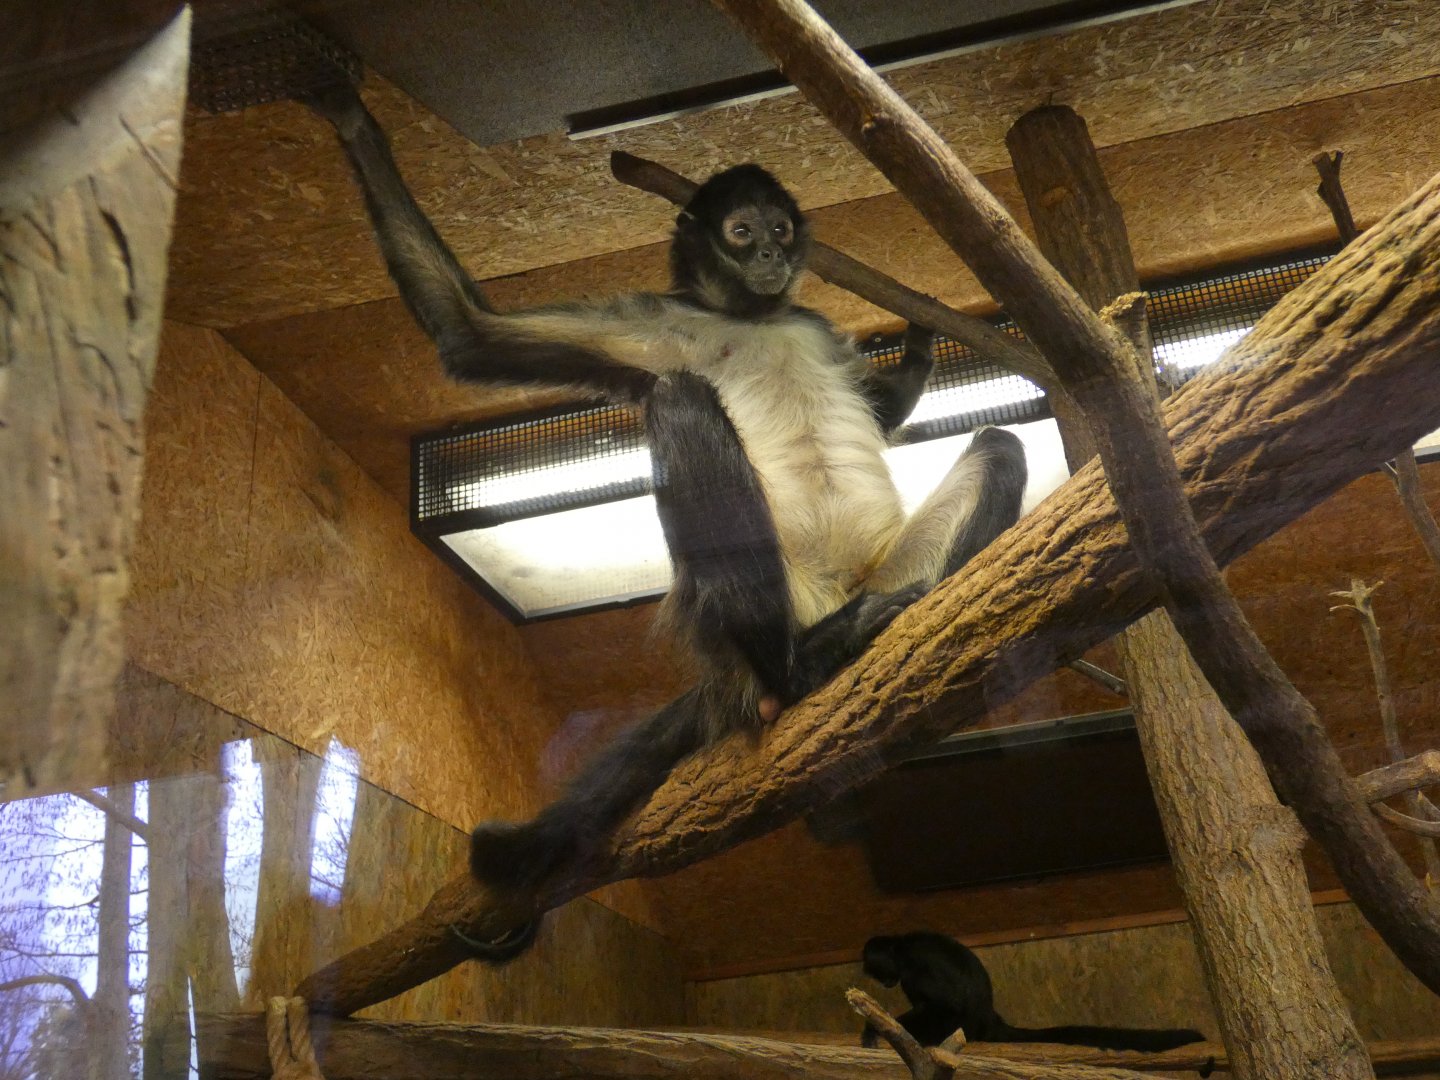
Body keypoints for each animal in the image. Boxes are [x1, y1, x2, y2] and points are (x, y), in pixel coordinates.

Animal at [302, 82, 1028, 907]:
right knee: (679, 398)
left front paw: (919, 344)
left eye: (780, 228)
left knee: (1000, 448)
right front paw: (349, 114)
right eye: (742, 232)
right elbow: (472, 330)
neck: (752, 316)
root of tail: (831, 600)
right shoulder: (658, 320)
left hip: (894, 574)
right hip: (756, 608)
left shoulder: (808, 320)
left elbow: (879, 411)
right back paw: (802, 670)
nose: (773, 254)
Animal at [861, 932, 1206, 1052]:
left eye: (879, 973)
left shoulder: (914, 967)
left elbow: (946, 1004)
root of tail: (989, 1021)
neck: (901, 946)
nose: (886, 983)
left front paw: (874, 1028)